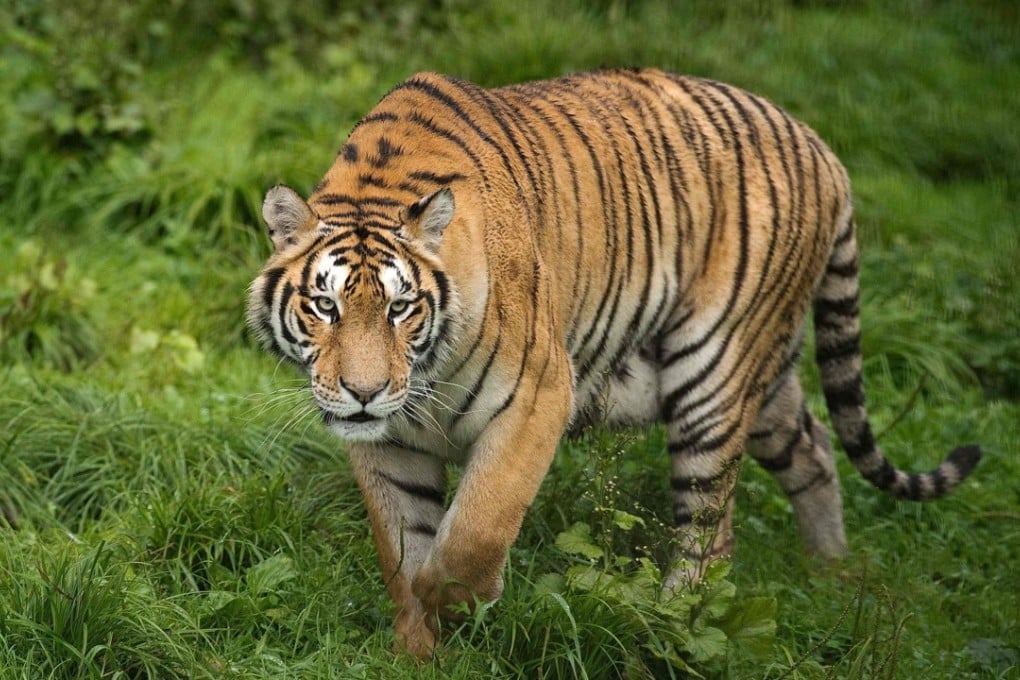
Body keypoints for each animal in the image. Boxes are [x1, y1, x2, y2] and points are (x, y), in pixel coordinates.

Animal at [246, 68, 981, 658]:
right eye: (325, 306)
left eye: (401, 309)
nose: (364, 393)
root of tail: (821, 145)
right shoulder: (387, 443)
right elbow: (400, 545)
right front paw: (418, 651)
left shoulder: (537, 396)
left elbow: (475, 529)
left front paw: (453, 601)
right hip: (767, 381)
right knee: (817, 447)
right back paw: (829, 573)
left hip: (713, 374)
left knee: (710, 535)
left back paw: (669, 623)